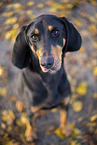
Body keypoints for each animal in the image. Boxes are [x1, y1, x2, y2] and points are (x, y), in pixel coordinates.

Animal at [11, 14, 82, 142]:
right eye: (33, 37)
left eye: (56, 32)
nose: (46, 63)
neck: (49, 80)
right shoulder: (30, 110)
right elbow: (30, 122)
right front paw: (30, 134)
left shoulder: (65, 102)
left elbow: (65, 117)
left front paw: (66, 129)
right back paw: (20, 104)